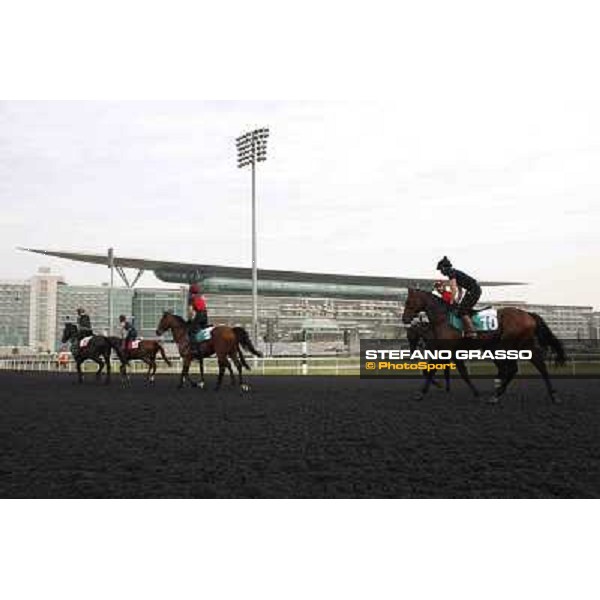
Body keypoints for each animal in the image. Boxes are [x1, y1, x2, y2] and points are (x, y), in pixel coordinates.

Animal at [400, 288, 564, 404]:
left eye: (408, 302)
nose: (404, 319)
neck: (442, 319)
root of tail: (529, 314)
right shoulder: (452, 353)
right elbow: (460, 373)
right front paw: (474, 392)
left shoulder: (445, 351)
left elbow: (431, 371)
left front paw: (421, 393)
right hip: (524, 345)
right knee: (540, 366)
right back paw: (553, 395)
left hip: (508, 346)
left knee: (512, 369)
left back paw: (496, 395)